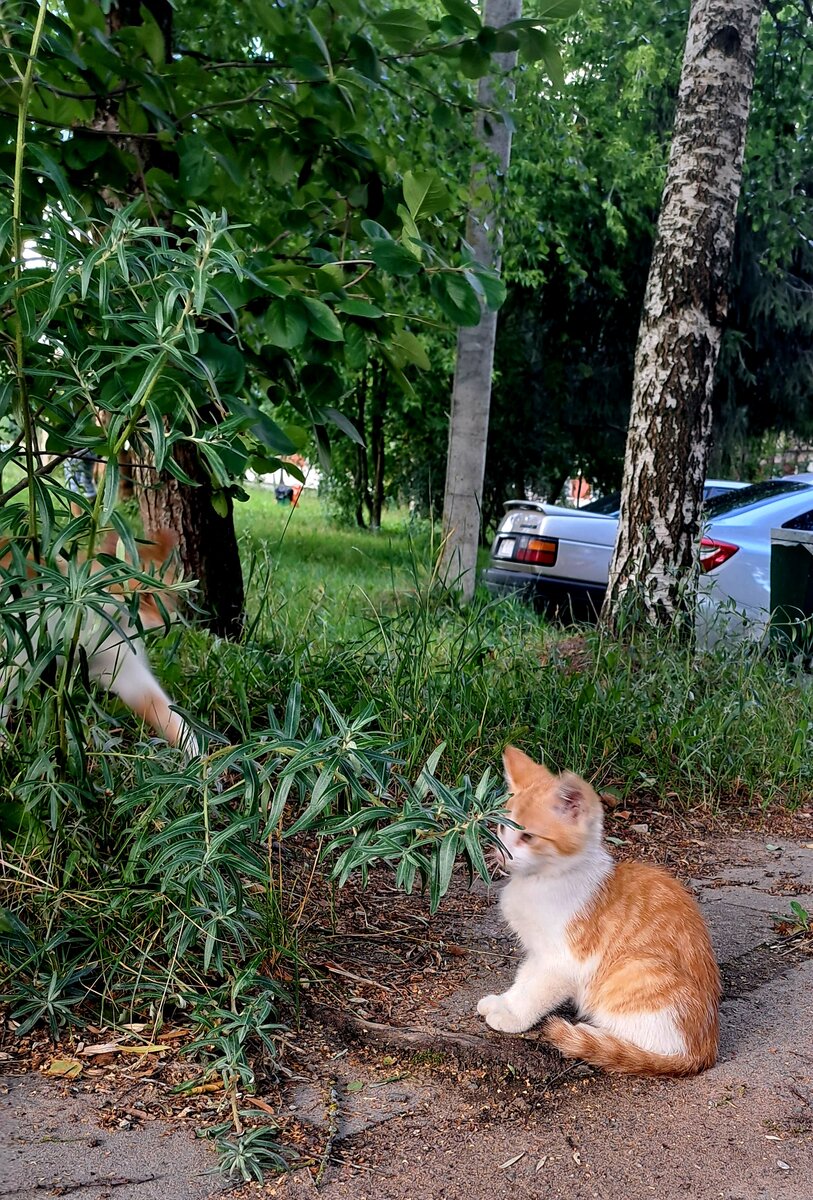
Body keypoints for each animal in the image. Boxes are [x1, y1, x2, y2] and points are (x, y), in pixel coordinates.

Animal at [482, 744, 724, 1075]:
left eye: (527, 836)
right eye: (500, 828)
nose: (501, 856)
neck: (543, 880)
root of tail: (702, 1052)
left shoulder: (563, 960)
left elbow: (536, 992)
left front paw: (513, 1016)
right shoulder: (539, 953)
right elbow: (525, 979)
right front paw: (504, 1002)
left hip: (636, 970)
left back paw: (596, 1038)